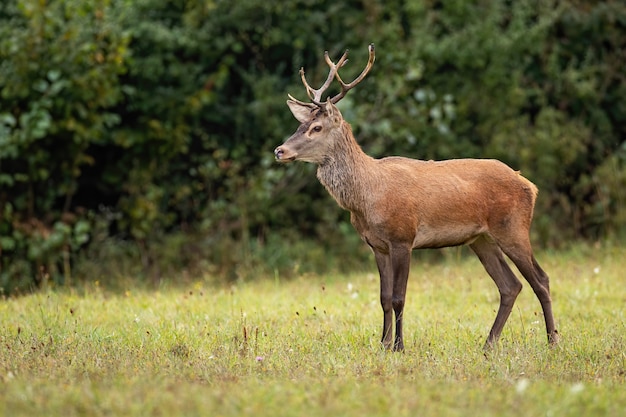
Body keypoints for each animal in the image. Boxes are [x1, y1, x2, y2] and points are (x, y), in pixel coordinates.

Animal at [272, 44, 556, 352]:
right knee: (510, 285)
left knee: (540, 279)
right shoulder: (377, 245)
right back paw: (488, 345)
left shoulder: (402, 237)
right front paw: (382, 345)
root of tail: (530, 185)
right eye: (300, 126)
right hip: (481, 239)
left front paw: (398, 346)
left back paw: (552, 341)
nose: (279, 150)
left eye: (316, 128)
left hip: (513, 227)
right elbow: (383, 298)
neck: (366, 198)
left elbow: (399, 297)